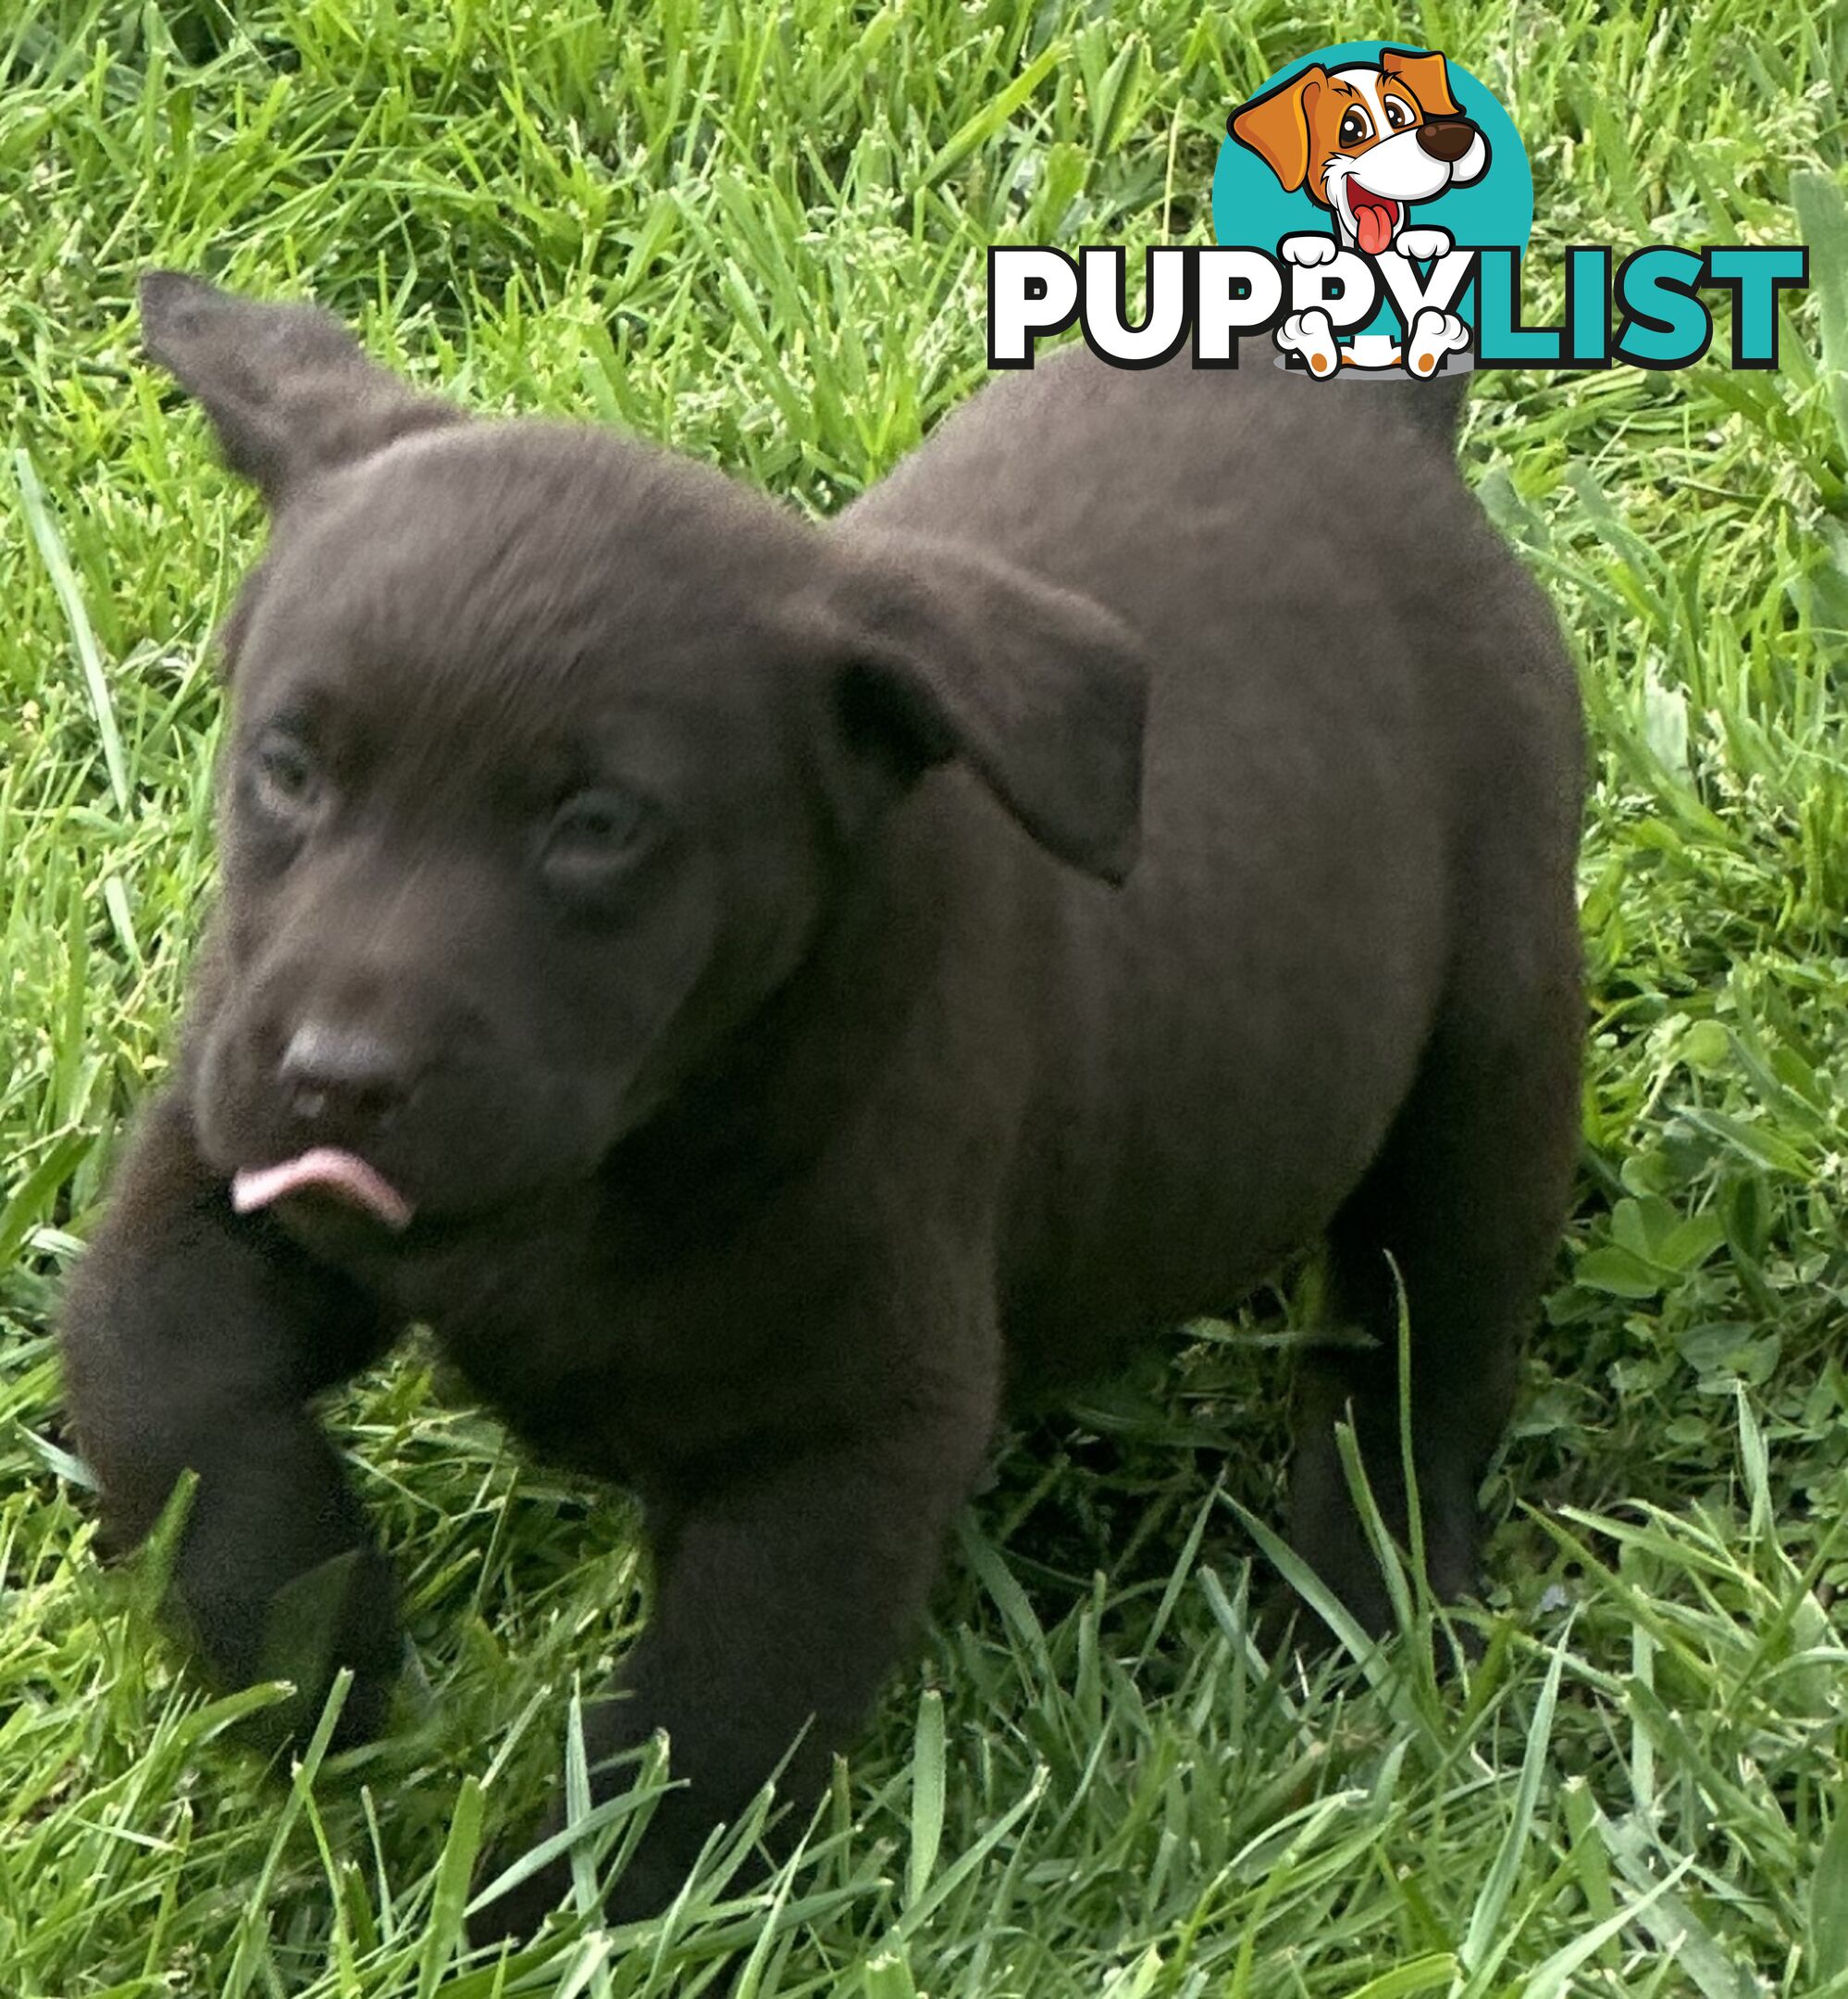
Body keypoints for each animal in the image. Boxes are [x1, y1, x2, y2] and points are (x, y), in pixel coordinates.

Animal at [61, 273, 1590, 1943]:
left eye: (597, 827)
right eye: (287, 768)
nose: (335, 1078)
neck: (616, 1155)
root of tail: (1376, 416)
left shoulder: (831, 1444)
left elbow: (706, 1726)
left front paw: (550, 1926)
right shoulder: (220, 1181)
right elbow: (165, 1380)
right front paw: (310, 1653)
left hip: (1492, 1042)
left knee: (1422, 1344)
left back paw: (1368, 1603)